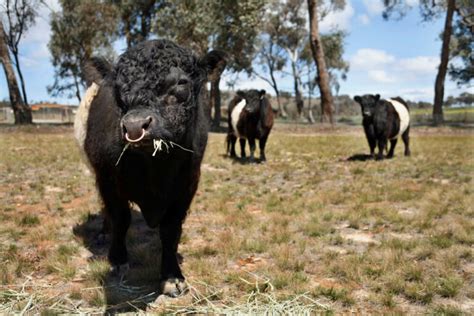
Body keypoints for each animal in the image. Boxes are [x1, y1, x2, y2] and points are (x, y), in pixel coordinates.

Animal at [73, 39, 222, 296]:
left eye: (181, 82)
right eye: (117, 88)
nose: (134, 126)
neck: (156, 169)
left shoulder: (187, 184)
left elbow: (170, 229)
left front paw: (172, 275)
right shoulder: (108, 179)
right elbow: (121, 218)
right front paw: (118, 259)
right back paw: (104, 232)